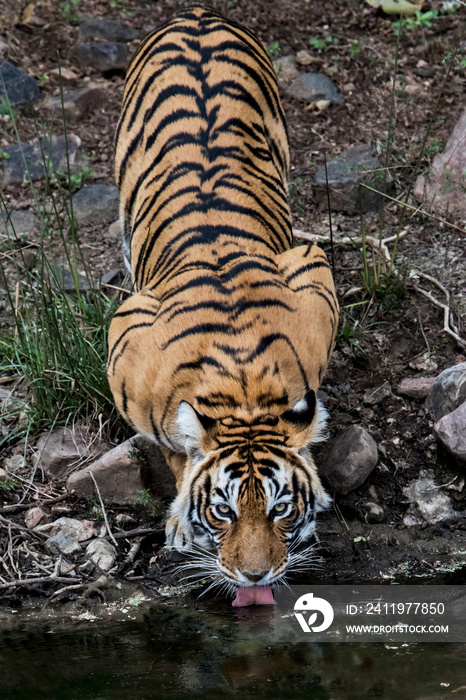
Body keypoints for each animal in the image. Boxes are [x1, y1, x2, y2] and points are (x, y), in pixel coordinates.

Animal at [109, 1, 338, 608]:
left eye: (281, 509)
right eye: (222, 512)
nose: (256, 576)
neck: (244, 392)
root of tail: (196, 14)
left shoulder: (311, 268)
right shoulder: (124, 330)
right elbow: (172, 451)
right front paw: (177, 523)